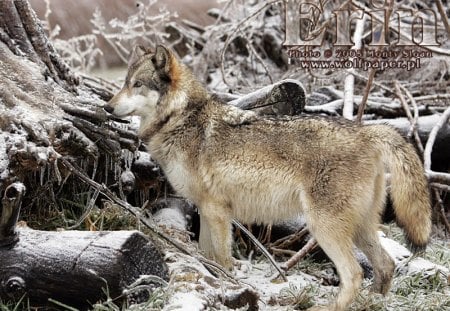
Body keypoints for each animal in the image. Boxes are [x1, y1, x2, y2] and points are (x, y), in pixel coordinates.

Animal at [105, 45, 432, 310]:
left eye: (136, 85)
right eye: (124, 83)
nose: (107, 107)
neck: (180, 117)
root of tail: (367, 132)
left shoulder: (216, 211)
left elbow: (222, 259)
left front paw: (230, 288)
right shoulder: (209, 211)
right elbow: (208, 255)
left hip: (324, 227)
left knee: (354, 274)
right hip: (360, 228)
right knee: (386, 265)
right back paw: (375, 302)